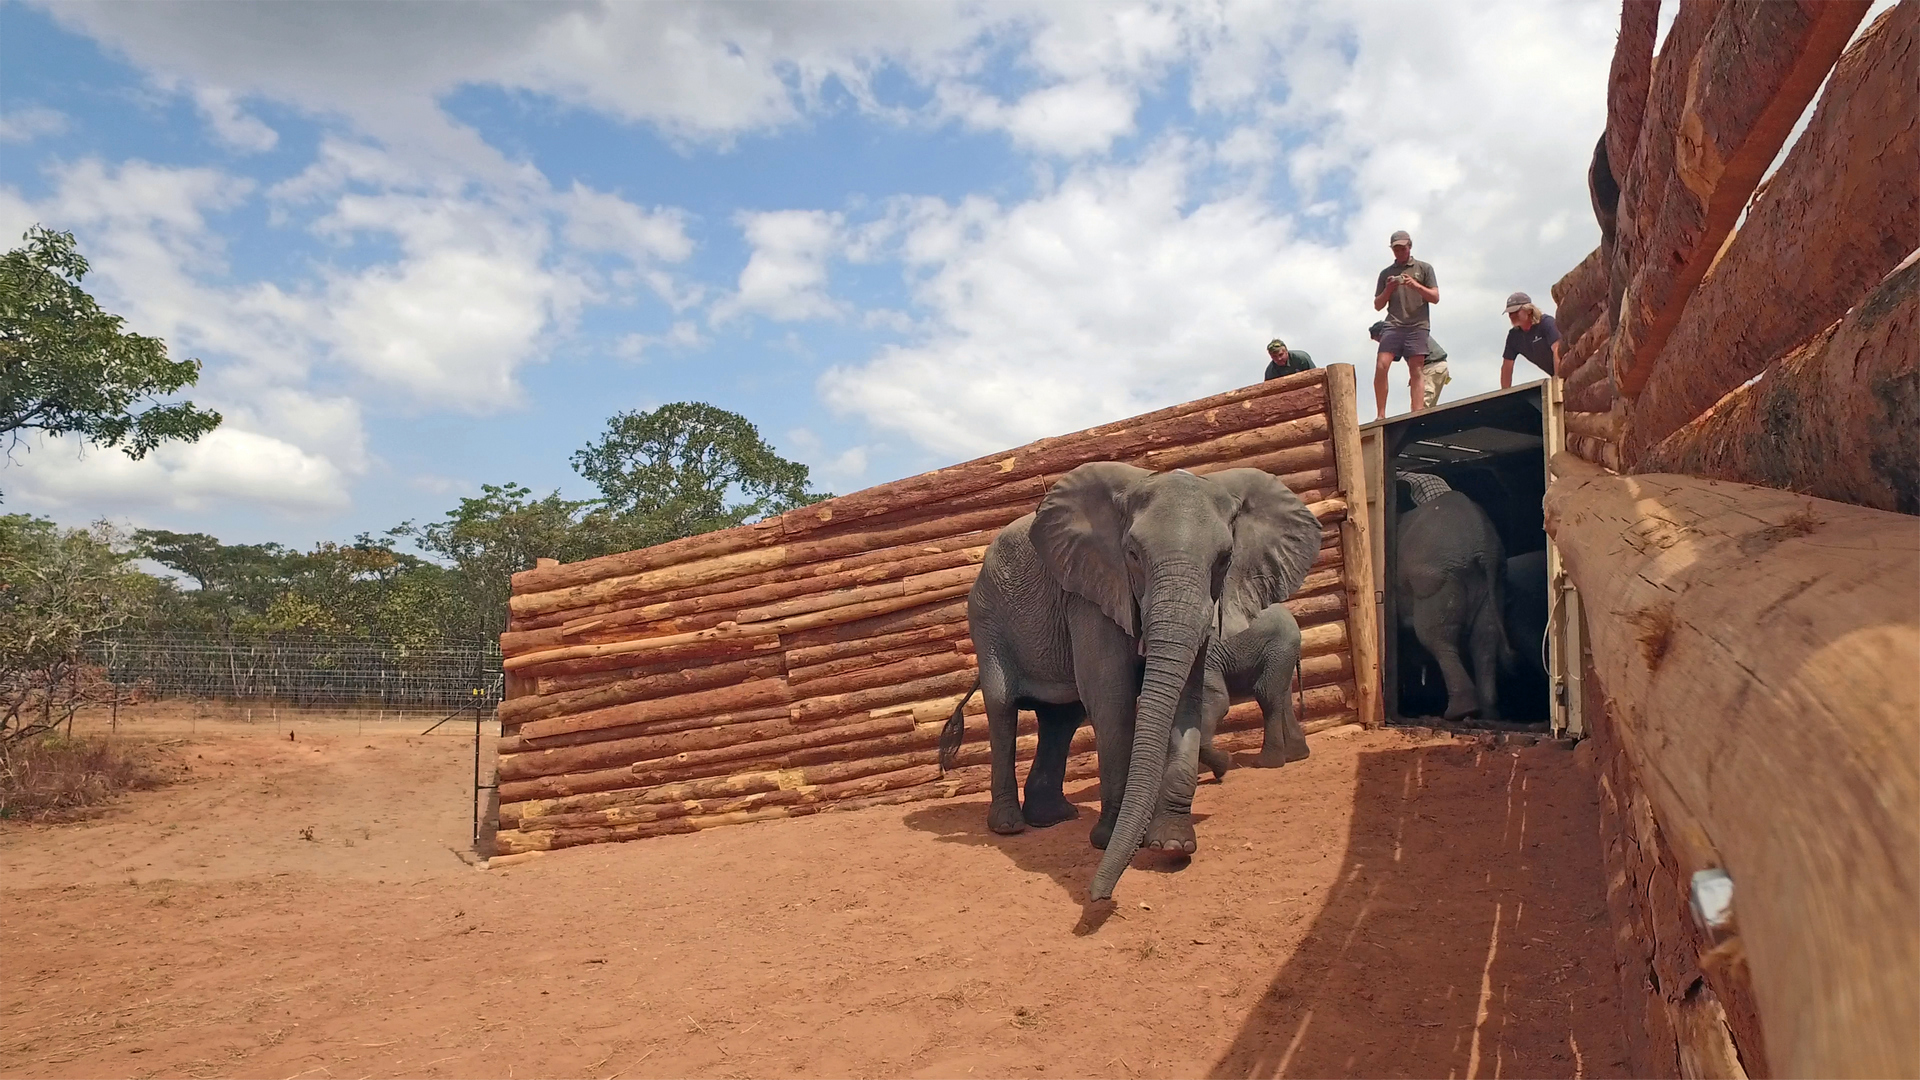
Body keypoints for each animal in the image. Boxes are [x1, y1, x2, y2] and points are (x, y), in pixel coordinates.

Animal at [940, 463, 1320, 899]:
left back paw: (1054, 818)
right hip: (985, 619)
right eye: (1133, 555)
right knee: (1003, 707)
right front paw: (1109, 841)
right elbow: (1112, 699)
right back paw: (1009, 826)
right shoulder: (1091, 594)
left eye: (1225, 559)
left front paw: (1171, 844)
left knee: (1061, 718)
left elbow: (1187, 700)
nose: (1098, 895)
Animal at [1397, 472, 1512, 718]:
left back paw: (1457, 714)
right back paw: (1488, 713)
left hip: (1439, 573)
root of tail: (1484, 548)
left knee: (1435, 636)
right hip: (1493, 577)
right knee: (1485, 636)